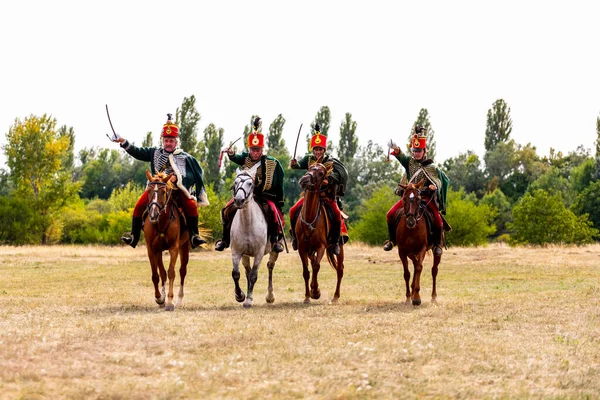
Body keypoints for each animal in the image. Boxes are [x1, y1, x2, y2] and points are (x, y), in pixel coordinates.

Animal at [142, 170, 189, 310]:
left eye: (163, 192)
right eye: (149, 191)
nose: (153, 214)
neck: (161, 222)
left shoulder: (174, 248)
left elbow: (171, 272)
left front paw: (169, 301)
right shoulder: (152, 249)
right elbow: (156, 275)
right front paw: (159, 298)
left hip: (184, 246)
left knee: (182, 271)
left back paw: (179, 300)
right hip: (159, 251)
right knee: (162, 272)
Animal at [230, 164, 278, 308]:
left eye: (250, 183)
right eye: (235, 182)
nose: (239, 200)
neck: (247, 224)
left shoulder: (258, 253)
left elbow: (254, 276)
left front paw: (248, 299)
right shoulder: (236, 252)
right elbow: (236, 274)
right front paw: (240, 296)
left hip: (274, 251)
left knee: (270, 266)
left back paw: (270, 296)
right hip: (245, 255)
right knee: (247, 270)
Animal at [294, 162, 342, 304]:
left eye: (321, 173)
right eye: (309, 168)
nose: (304, 180)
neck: (310, 218)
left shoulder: (321, 246)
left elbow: (316, 266)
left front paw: (315, 292)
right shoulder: (302, 248)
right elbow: (306, 271)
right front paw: (307, 296)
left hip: (339, 246)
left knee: (340, 270)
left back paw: (336, 296)